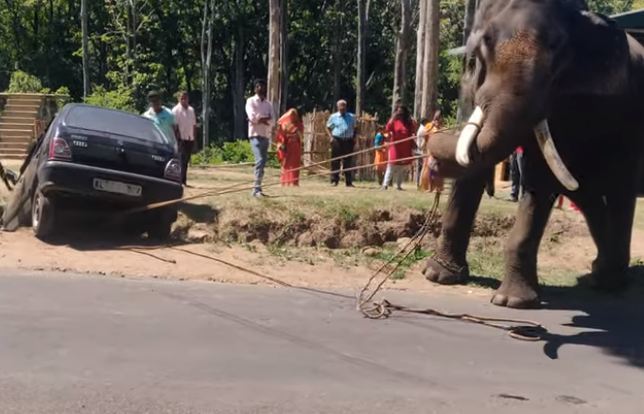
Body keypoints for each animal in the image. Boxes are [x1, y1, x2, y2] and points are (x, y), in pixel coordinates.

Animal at [422, 0, 644, 308]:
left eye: (558, 57)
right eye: (479, 55)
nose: (433, 160)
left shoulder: (564, 102)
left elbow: (540, 175)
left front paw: (513, 301)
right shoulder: (469, 88)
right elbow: (473, 165)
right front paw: (438, 275)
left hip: (628, 128)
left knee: (618, 190)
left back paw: (611, 282)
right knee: (587, 194)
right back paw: (600, 273)